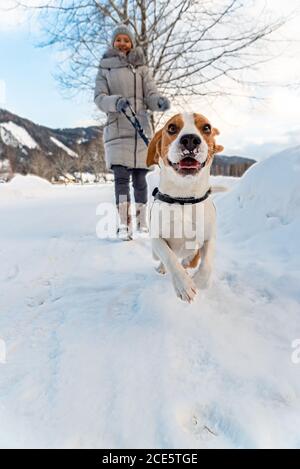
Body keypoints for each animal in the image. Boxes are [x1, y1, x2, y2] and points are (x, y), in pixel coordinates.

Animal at [146, 113, 224, 304]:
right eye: (172, 128)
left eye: (207, 128)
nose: (190, 140)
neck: (184, 198)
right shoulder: (156, 237)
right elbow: (168, 256)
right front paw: (184, 285)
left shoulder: (209, 237)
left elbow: (206, 264)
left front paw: (199, 281)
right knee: (162, 257)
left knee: (191, 259)